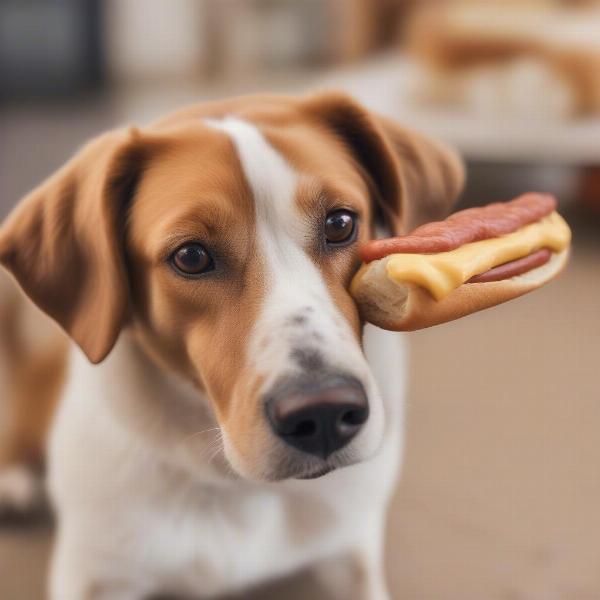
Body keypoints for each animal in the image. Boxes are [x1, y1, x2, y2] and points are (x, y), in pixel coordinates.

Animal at [0, 94, 464, 600]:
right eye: (190, 256)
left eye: (341, 223)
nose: (323, 414)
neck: (234, 484)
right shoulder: (96, 577)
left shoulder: (350, 554)